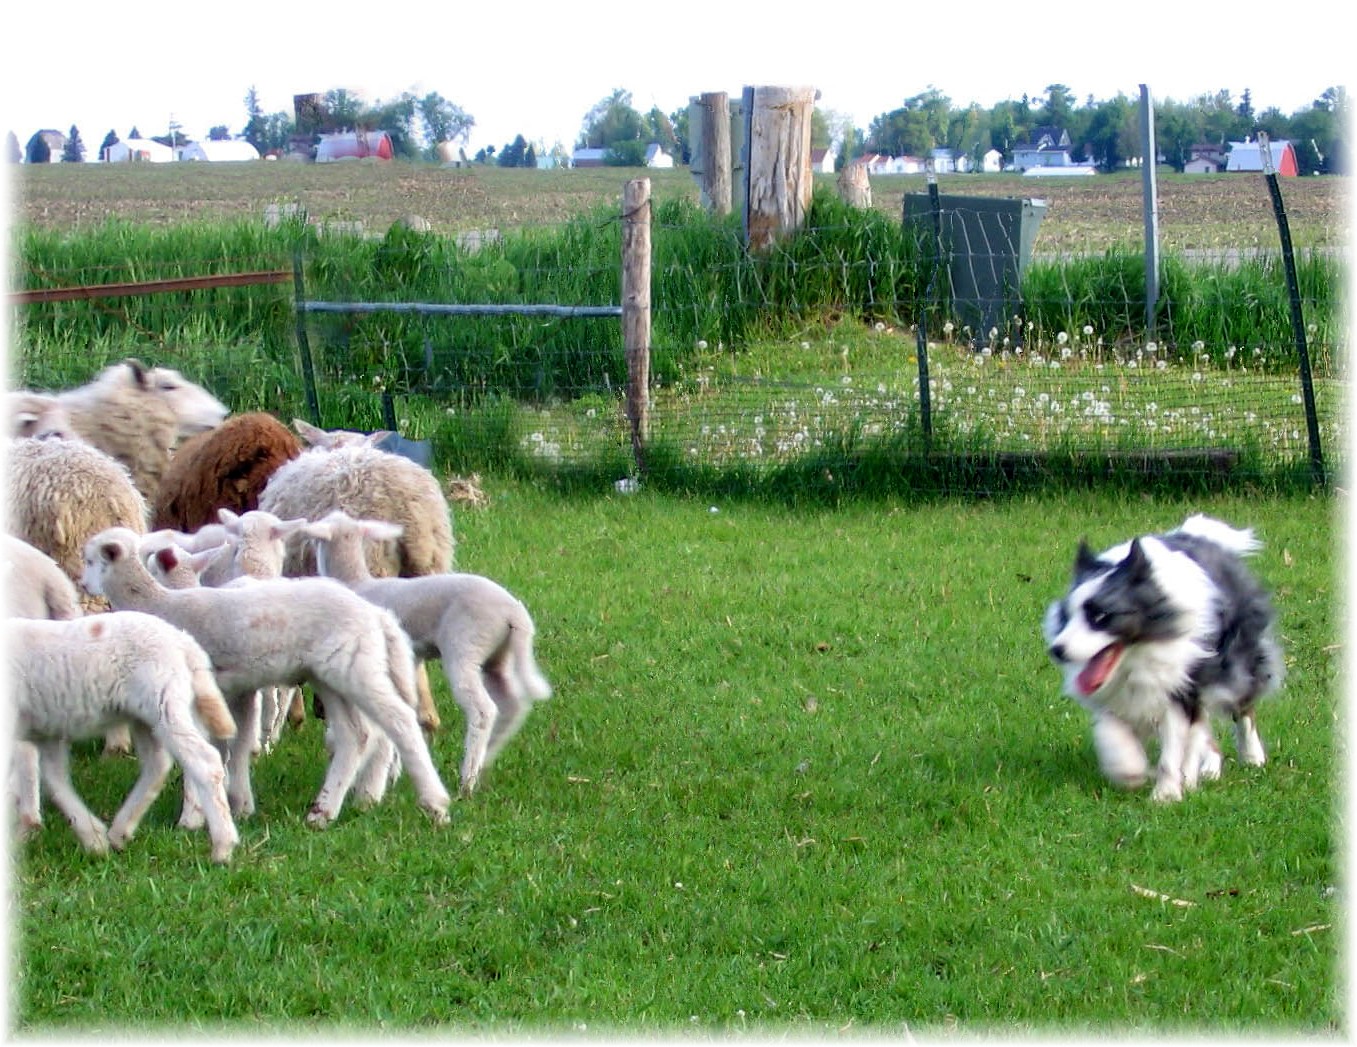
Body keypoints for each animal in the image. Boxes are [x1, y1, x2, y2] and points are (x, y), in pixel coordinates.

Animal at [7, 610, 240, 862]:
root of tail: (182, 640)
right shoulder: (49, 730)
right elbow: (55, 780)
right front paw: (94, 839)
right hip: (145, 716)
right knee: (157, 764)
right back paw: (119, 832)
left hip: (163, 700)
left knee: (204, 761)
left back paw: (222, 847)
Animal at [82, 528, 453, 830]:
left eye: (89, 559)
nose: (84, 585)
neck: (161, 605)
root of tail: (376, 614)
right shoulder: (235, 691)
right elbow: (234, 745)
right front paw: (236, 806)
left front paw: (190, 818)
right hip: (330, 676)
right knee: (356, 736)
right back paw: (322, 813)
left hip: (355, 666)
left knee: (398, 720)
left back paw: (434, 804)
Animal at [302, 507, 550, 792]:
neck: (358, 583)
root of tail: (515, 615)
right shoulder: (409, 660)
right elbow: (408, 705)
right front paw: (394, 772)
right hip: (498, 655)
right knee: (511, 704)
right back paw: (485, 760)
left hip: (465, 645)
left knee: (483, 710)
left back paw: (467, 779)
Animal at [1047, 515, 1281, 802]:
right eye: (1067, 615)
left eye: (1101, 616)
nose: (1057, 650)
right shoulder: (1113, 695)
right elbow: (1110, 730)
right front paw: (1129, 770)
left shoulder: (1181, 688)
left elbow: (1174, 747)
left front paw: (1166, 796)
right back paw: (1207, 770)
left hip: (1236, 665)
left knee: (1244, 709)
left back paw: (1251, 757)